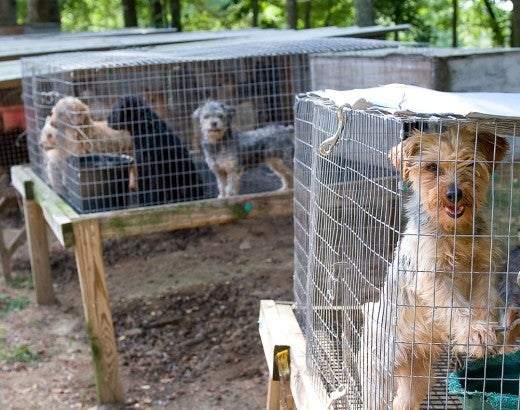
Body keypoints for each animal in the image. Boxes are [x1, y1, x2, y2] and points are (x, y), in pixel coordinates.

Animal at [360, 125, 510, 410]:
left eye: (471, 163)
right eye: (431, 167)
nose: (454, 194)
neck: (455, 232)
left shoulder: (484, 270)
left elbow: (485, 302)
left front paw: (485, 332)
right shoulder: (433, 277)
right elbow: (456, 306)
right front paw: (474, 332)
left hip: (417, 376)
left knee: (403, 401)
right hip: (379, 373)